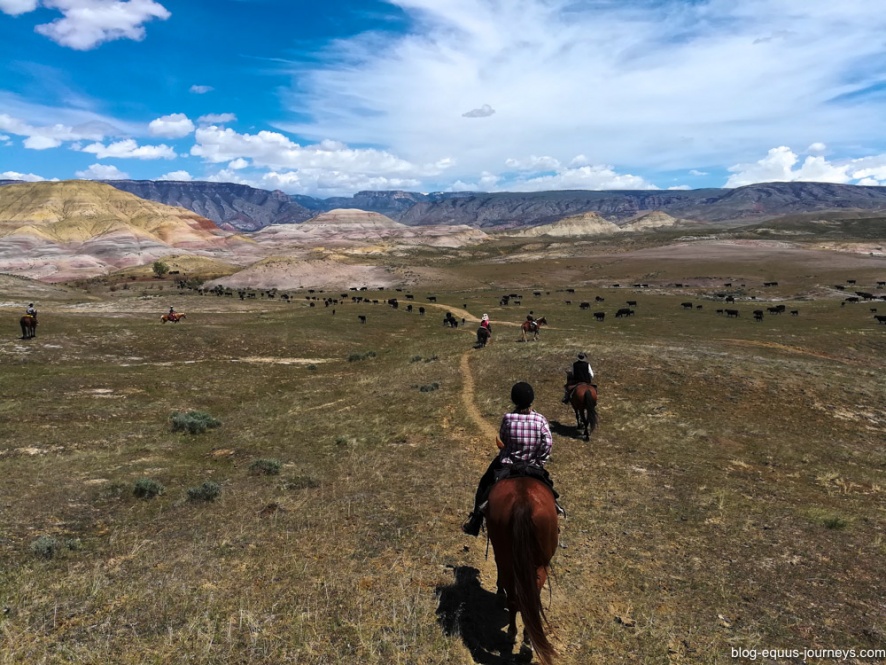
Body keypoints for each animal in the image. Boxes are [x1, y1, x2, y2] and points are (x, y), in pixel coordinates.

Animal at [490, 474, 560, 660]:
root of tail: (523, 502)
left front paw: (499, 591)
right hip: (540, 565)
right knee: (531, 599)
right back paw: (528, 641)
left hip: (508, 561)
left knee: (514, 598)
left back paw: (512, 634)